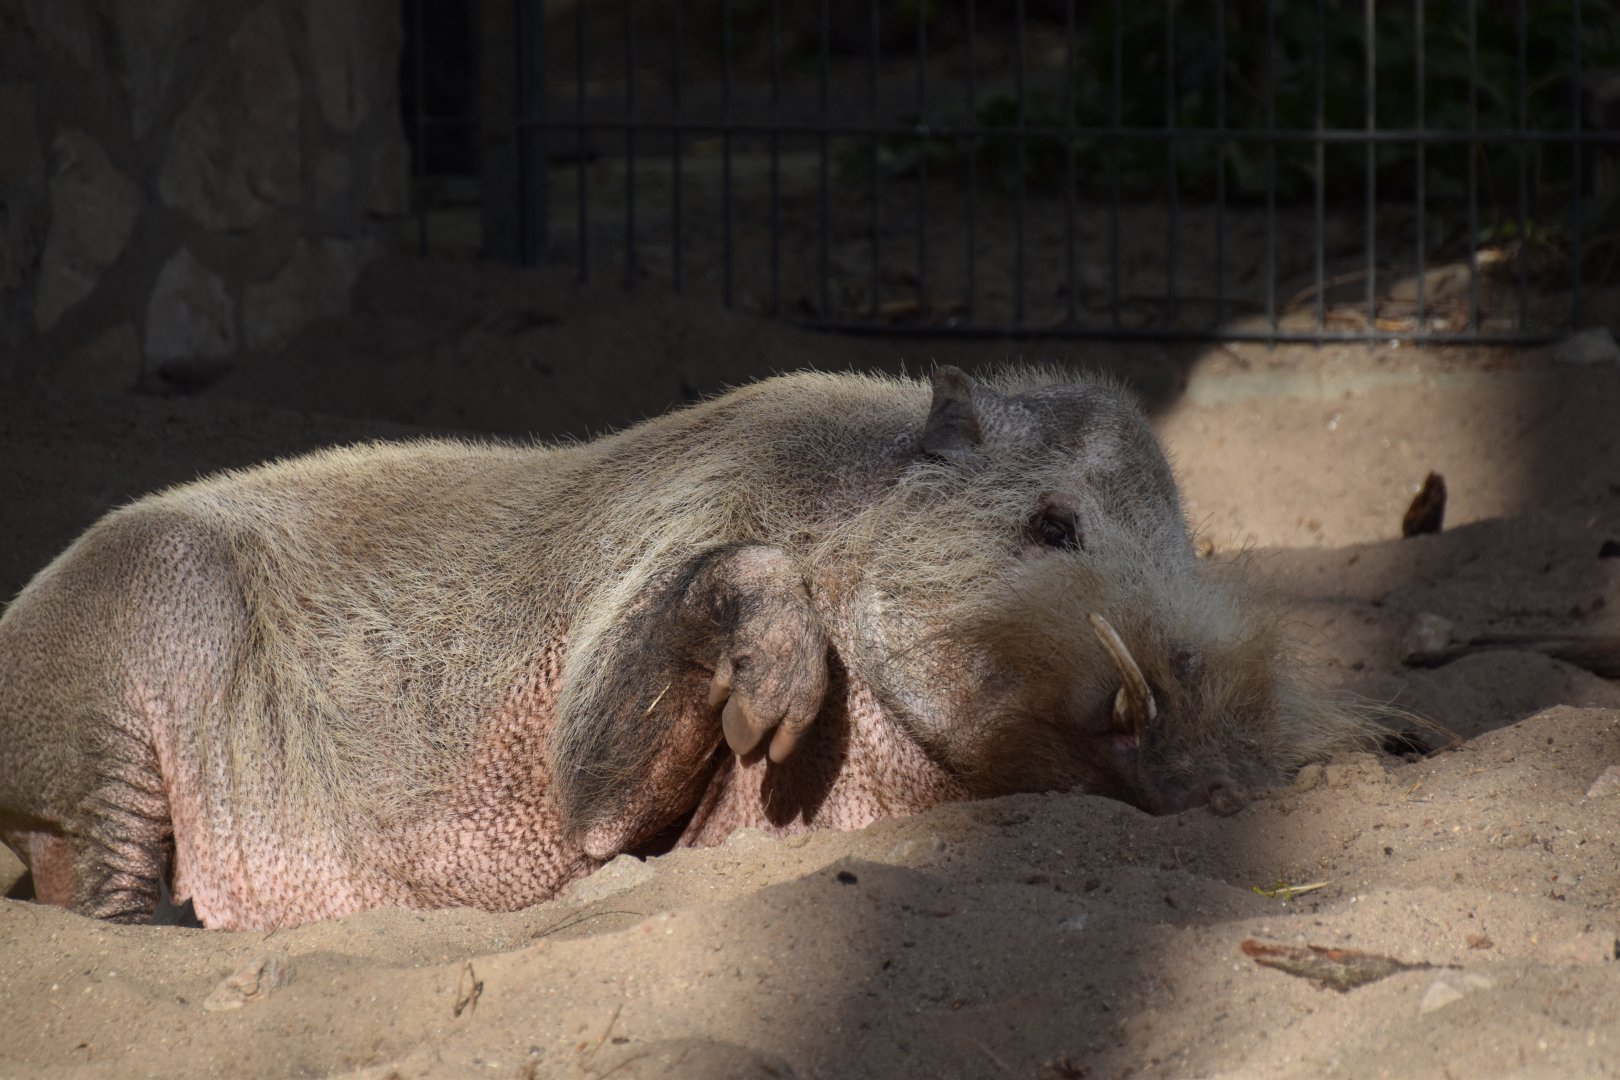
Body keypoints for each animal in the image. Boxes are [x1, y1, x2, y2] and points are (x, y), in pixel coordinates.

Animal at [0, 367, 1373, 929]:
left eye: (1186, 548)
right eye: (1049, 524)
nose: (1203, 731)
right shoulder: (648, 581)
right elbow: (598, 800)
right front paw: (767, 731)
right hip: (105, 675)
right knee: (92, 881)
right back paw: (176, 922)